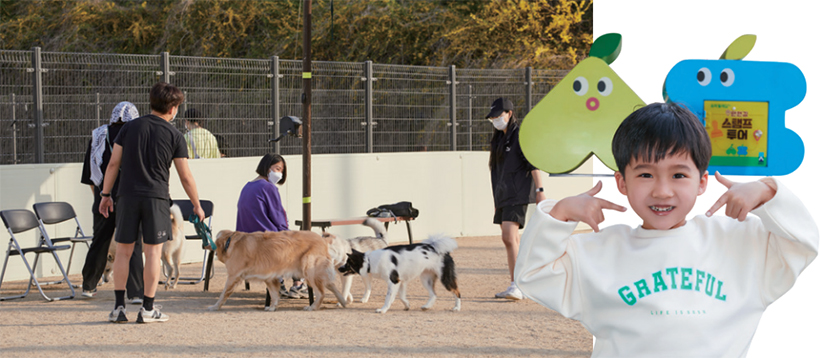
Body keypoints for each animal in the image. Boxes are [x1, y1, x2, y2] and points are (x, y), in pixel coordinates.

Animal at [208, 229, 346, 310]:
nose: (206, 245)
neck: (230, 242)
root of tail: (323, 240)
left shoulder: (233, 276)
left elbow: (223, 294)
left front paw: (215, 306)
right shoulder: (269, 277)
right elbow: (274, 294)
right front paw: (272, 307)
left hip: (309, 270)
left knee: (321, 293)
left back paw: (313, 307)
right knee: (331, 285)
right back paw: (343, 301)